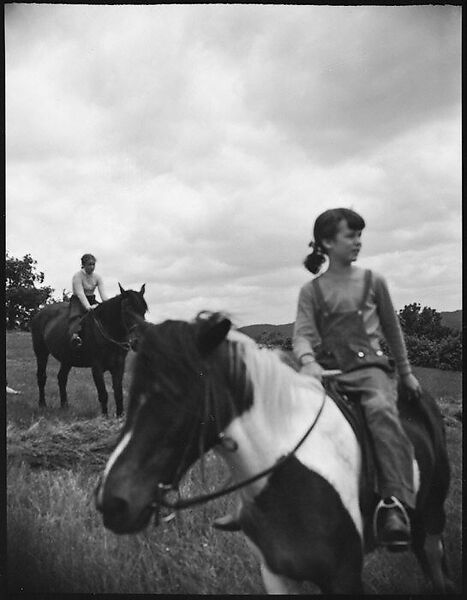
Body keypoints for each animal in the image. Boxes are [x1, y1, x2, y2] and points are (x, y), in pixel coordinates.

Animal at [30, 284, 147, 418]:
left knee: (62, 378)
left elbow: (118, 394)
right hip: (41, 353)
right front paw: (104, 418)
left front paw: (119, 417)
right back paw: (42, 404)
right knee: (42, 377)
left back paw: (64, 406)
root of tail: (39, 314)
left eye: (144, 310)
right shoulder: (97, 367)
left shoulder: (119, 366)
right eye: (127, 309)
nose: (139, 341)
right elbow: (103, 394)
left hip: (67, 359)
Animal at [97, 312, 456, 592]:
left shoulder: (343, 576)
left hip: (433, 518)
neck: (288, 472)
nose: (112, 502)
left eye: (176, 393)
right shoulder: (278, 574)